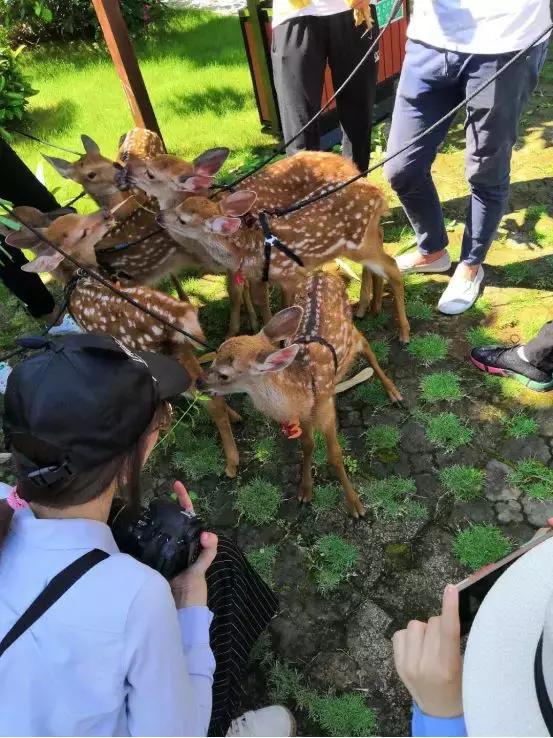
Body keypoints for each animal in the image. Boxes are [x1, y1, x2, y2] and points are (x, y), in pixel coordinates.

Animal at [4, 207, 242, 478]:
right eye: (80, 230)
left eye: (76, 218)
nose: (105, 213)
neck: (77, 277)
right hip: (179, 350)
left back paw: (231, 463)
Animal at [157, 152, 412, 344]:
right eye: (181, 204)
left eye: (182, 219)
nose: (159, 216)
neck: (248, 248)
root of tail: (380, 194)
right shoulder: (263, 277)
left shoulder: (291, 275)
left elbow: (284, 310)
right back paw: (373, 308)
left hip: (361, 245)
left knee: (393, 266)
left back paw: (404, 332)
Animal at [198, 268, 402, 516]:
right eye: (215, 354)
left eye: (225, 374)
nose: (198, 381)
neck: (301, 390)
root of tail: (324, 271)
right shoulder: (303, 416)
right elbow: (307, 446)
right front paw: (305, 491)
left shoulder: (326, 410)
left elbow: (335, 455)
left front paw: (355, 505)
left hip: (351, 329)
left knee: (366, 345)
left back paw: (394, 393)